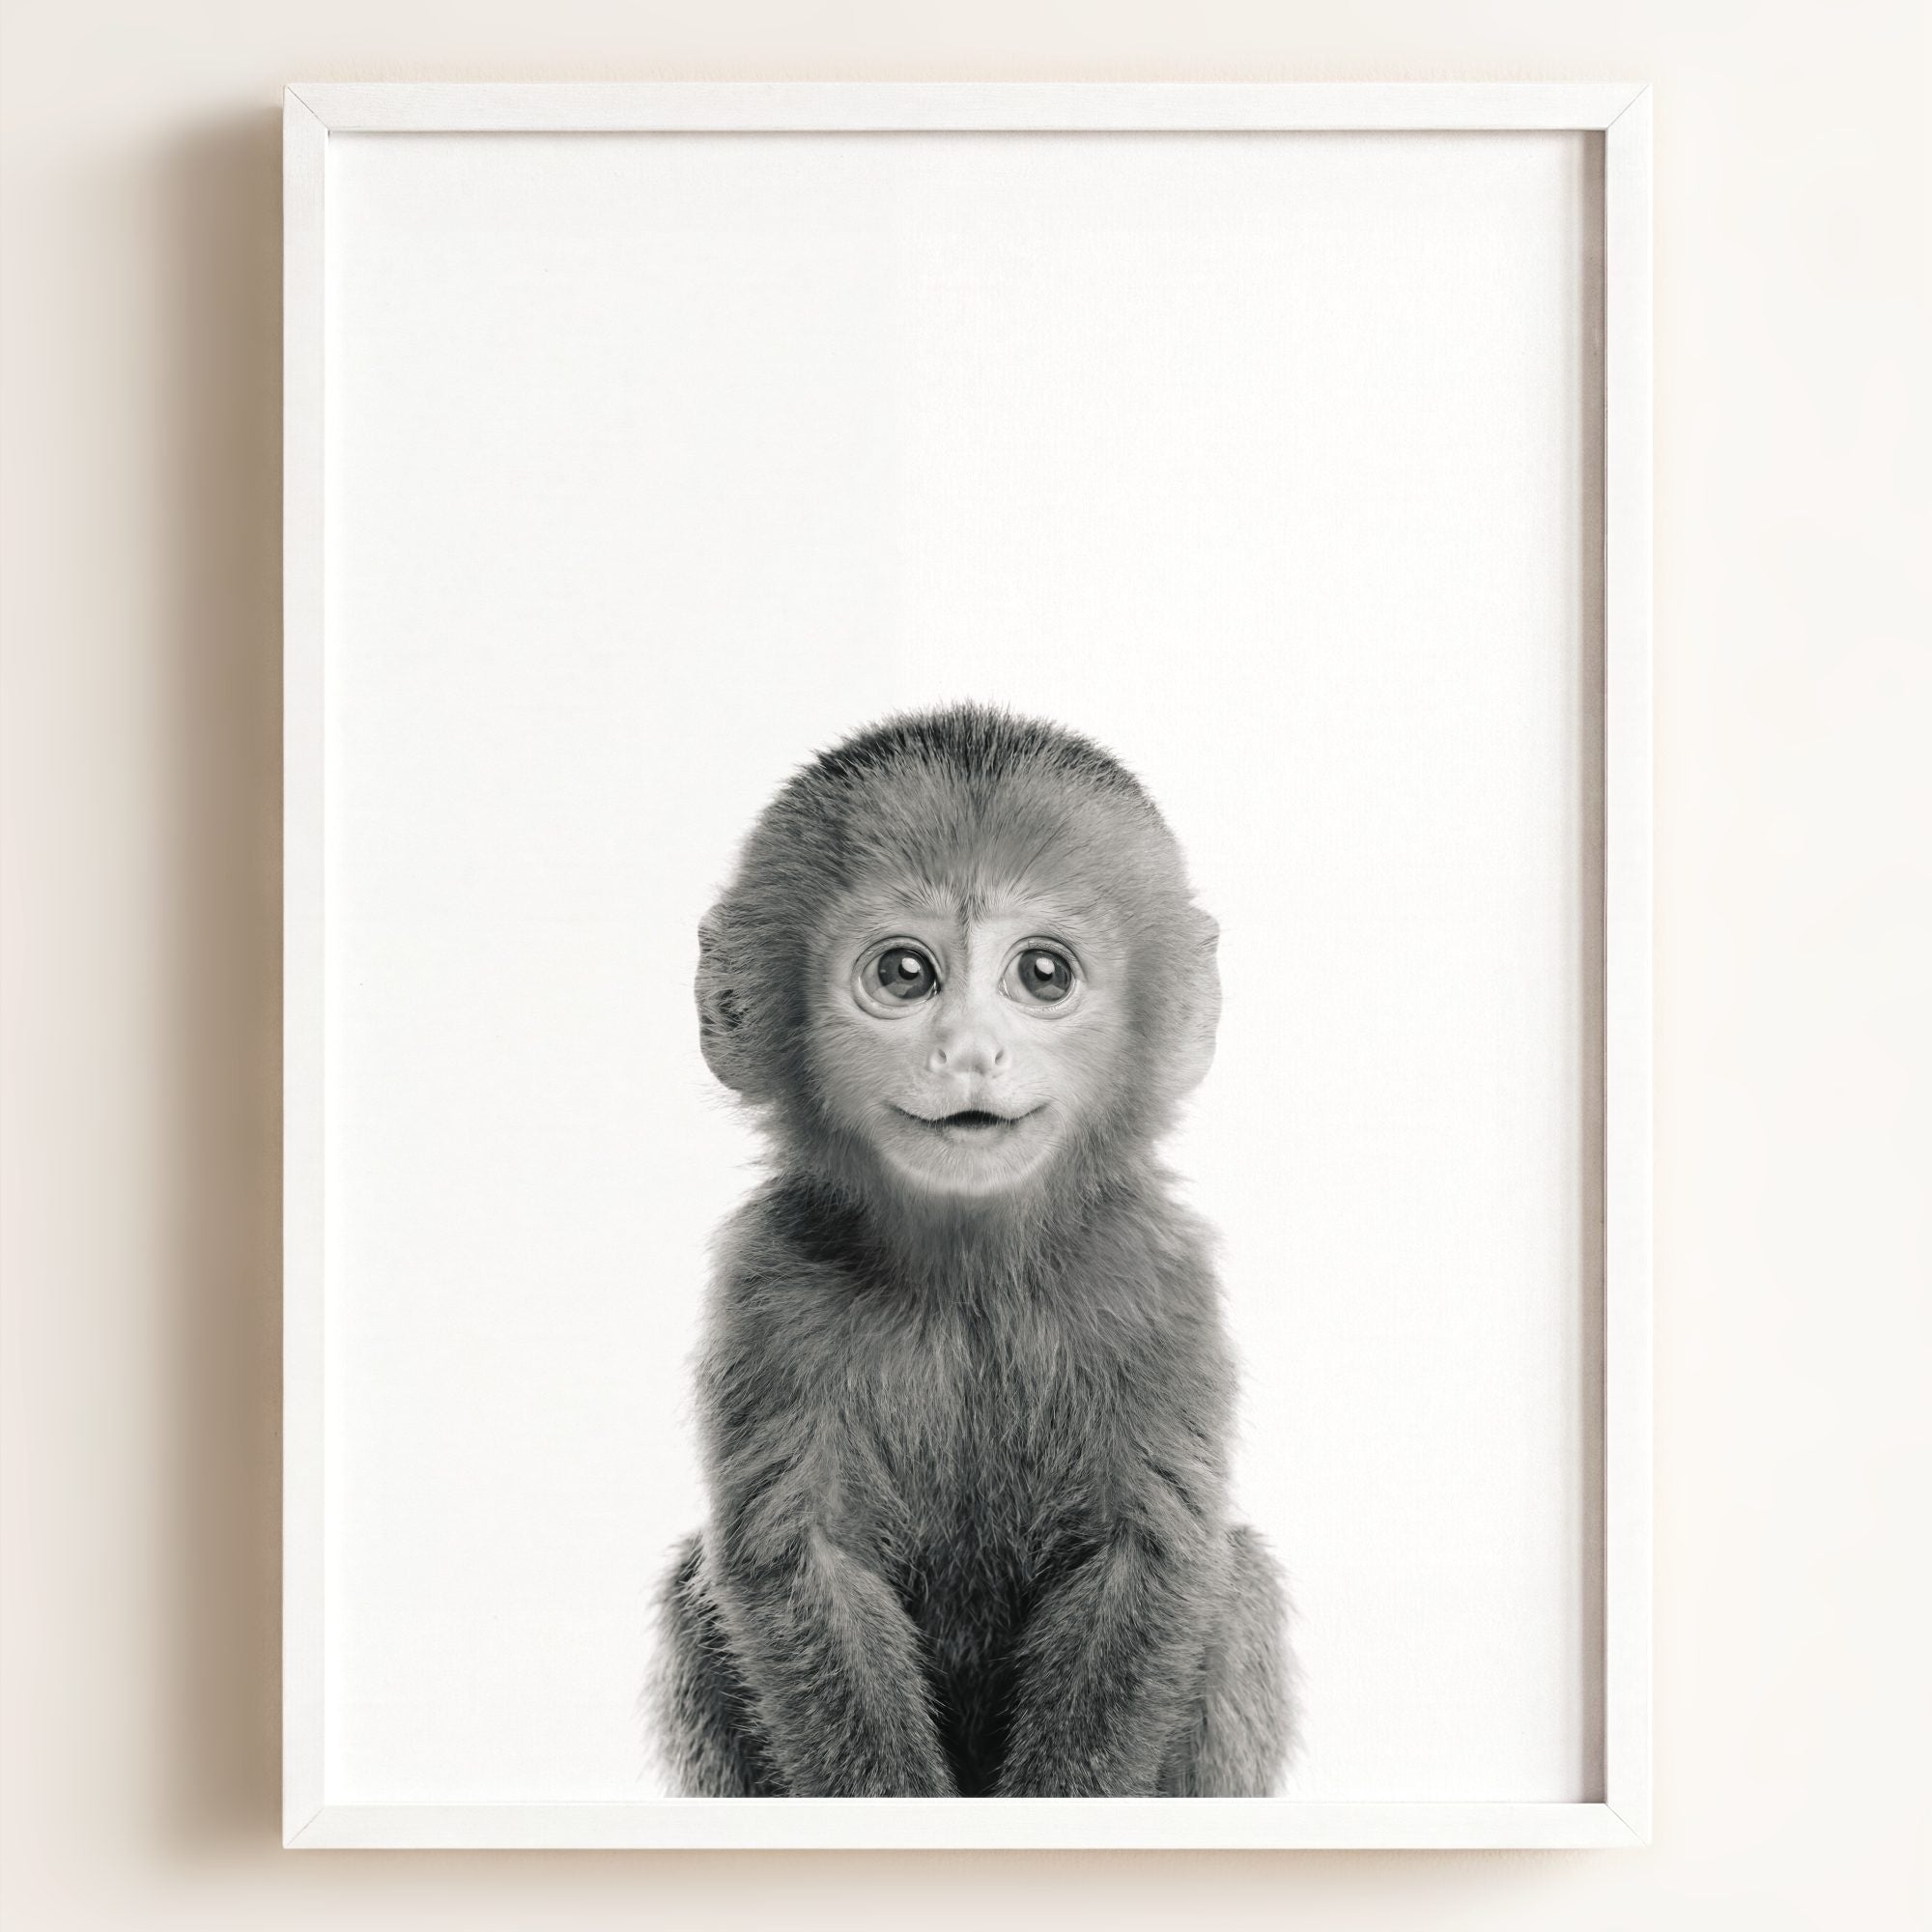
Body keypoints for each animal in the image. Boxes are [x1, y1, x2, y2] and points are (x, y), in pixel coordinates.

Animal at [650, 704, 1294, 1797]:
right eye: (904, 974)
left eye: (1042, 974)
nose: (968, 1052)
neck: (970, 1280)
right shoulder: (768, 1283)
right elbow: (799, 1564)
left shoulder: (1157, 1276)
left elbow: (1147, 1557)